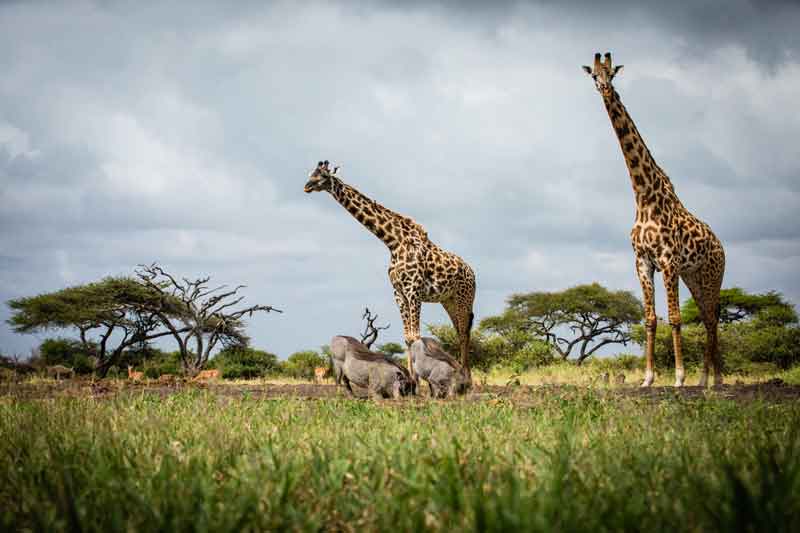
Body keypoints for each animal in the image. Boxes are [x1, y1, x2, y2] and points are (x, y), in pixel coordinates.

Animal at [302, 160, 476, 384]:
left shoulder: (413, 290)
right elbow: (408, 337)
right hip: (448, 300)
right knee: (459, 330)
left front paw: (419, 380)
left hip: (465, 298)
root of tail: (472, 273)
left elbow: (415, 336)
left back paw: (466, 378)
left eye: (322, 176)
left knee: (464, 333)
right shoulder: (399, 292)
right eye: (310, 173)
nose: (306, 186)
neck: (392, 242)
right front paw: (412, 380)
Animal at [584, 53, 728, 386]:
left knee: (711, 320)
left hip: (712, 275)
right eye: (594, 75)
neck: (642, 195)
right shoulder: (643, 261)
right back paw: (707, 379)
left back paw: (712, 380)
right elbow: (650, 319)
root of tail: (721, 247)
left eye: (612, 73)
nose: (605, 90)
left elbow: (674, 318)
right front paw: (648, 378)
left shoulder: (668, 260)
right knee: (708, 318)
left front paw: (678, 377)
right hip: (694, 277)